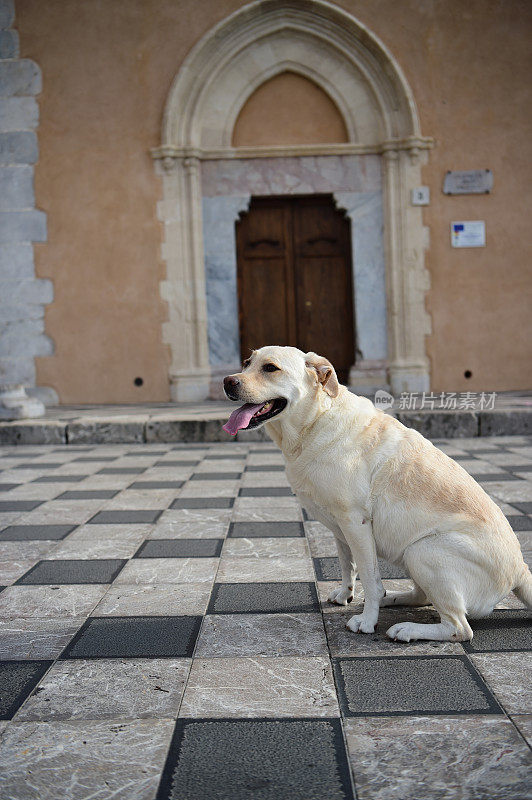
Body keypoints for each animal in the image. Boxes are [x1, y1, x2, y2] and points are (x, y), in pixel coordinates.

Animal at [222, 346, 528, 644]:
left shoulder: (355, 521)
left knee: (459, 628)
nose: (227, 381)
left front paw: (367, 621)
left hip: (422, 550)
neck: (316, 422)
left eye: (270, 368)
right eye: (247, 362)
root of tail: (521, 570)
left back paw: (406, 629)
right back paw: (393, 599)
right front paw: (345, 595)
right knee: (424, 598)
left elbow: (370, 578)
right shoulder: (339, 527)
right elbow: (347, 565)